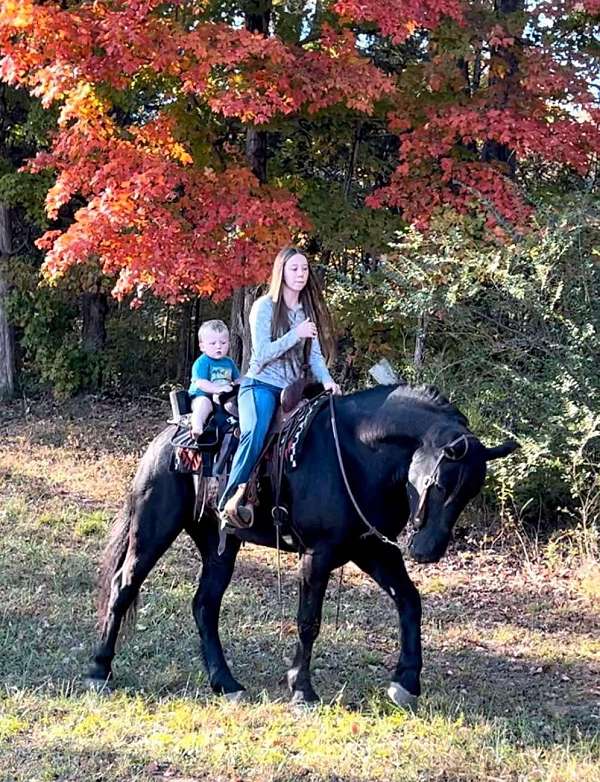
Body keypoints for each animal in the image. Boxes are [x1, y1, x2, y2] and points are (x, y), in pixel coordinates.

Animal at [86, 386, 516, 712]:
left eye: (470, 492)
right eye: (440, 483)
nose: (428, 550)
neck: (358, 456)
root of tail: (168, 435)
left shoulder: (373, 550)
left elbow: (410, 602)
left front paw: (406, 682)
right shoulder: (318, 554)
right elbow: (308, 620)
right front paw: (302, 690)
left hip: (219, 545)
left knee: (205, 605)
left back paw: (225, 683)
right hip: (154, 528)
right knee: (125, 585)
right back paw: (99, 670)